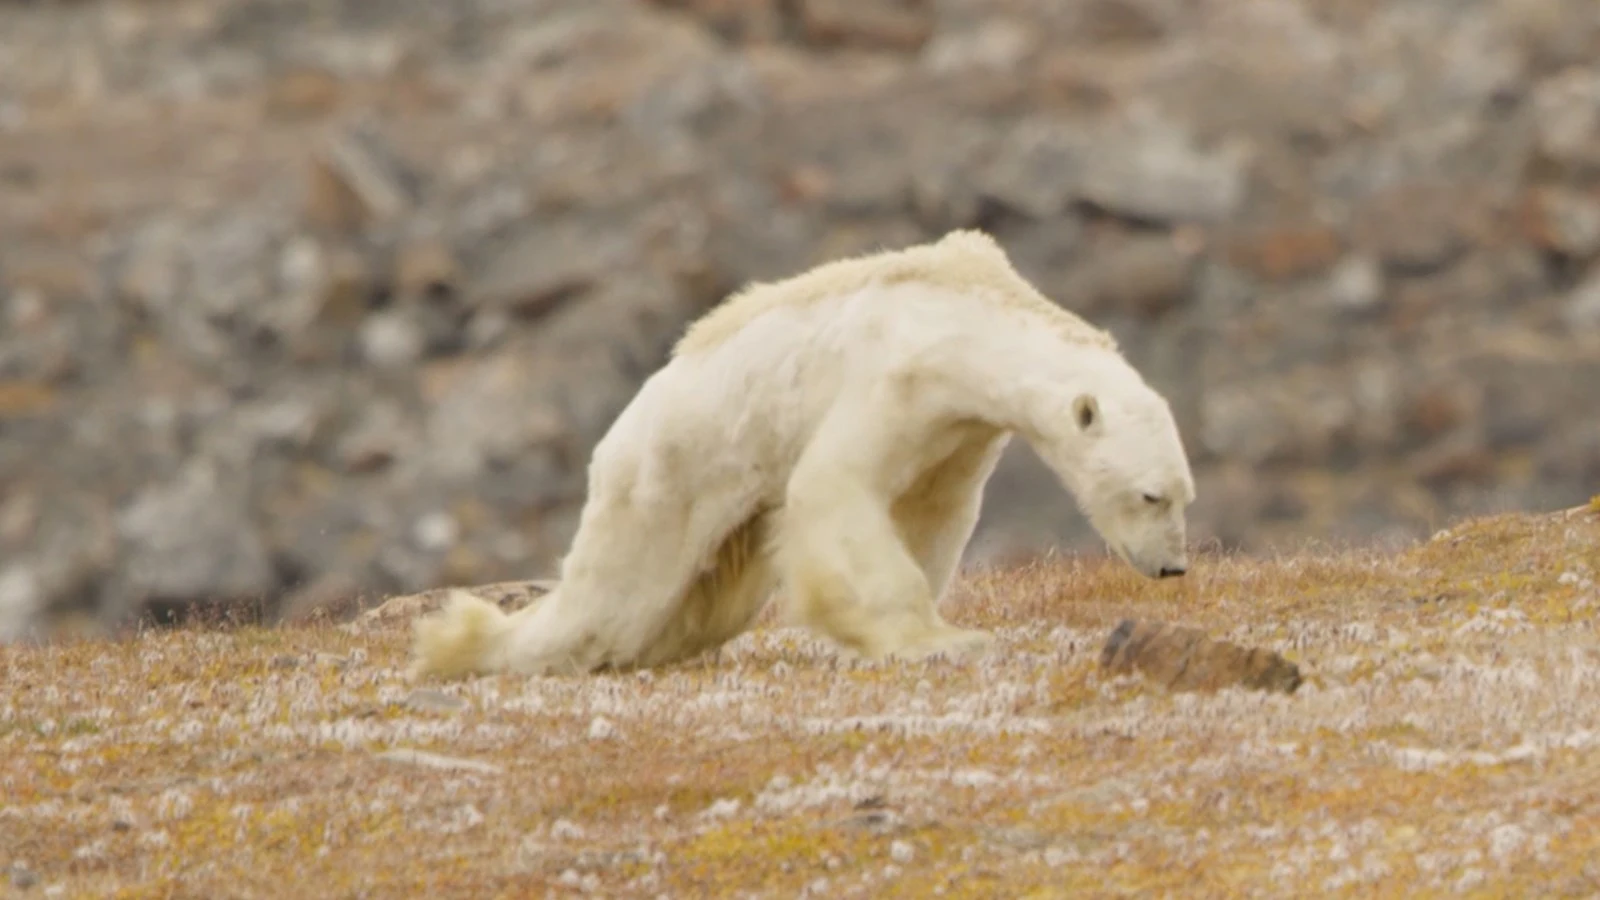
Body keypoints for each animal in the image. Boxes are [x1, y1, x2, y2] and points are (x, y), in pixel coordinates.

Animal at [406, 227, 1196, 675]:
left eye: (1183, 495)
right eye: (1150, 494)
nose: (1172, 567)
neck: (968, 317)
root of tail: (617, 433)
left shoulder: (960, 430)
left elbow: (932, 513)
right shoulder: (893, 377)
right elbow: (835, 488)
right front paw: (935, 639)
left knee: (698, 606)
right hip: (667, 475)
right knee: (614, 600)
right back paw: (463, 647)